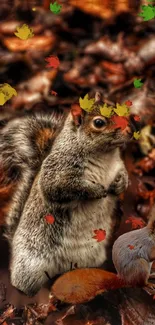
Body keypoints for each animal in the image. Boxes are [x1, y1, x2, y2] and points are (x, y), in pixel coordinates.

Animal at [0, 92, 139, 296]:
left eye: (114, 107)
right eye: (99, 123)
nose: (130, 130)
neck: (104, 156)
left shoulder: (118, 166)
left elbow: (123, 175)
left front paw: (119, 185)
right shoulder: (57, 170)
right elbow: (59, 188)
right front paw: (95, 190)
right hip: (30, 267)